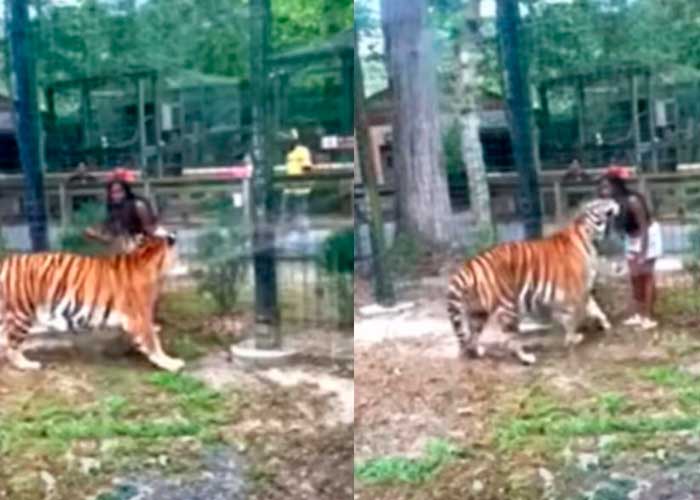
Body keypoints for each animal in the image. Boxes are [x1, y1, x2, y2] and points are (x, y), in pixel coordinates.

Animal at [0, 229, 185, 374]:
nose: (185, 264)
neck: (147, 258)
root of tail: (4, 263)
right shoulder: (139, 315)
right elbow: (152, 341)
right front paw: (170, 363)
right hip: (20, 314)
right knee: (11, 345)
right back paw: (27, 364)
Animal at [448, 197, 616, 366]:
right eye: (600, 202)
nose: (614, 202)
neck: (588, 234)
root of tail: (469, 265)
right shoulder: (576, 291)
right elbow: (574, 317)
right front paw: (572, 338)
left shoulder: (582, 291)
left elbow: (595, 308)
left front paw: (606, 324)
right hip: (508, 308)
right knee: (510, 339)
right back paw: (526, 357)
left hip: (478, 312)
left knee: (471, 335)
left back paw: (476, 352)